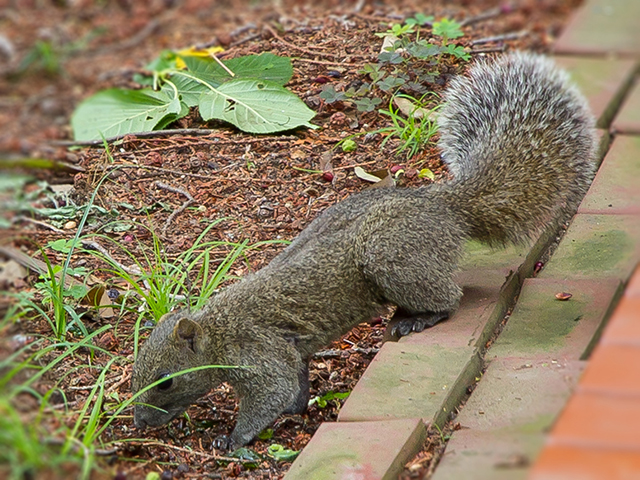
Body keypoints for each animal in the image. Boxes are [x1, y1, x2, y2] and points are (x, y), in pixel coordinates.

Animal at [131, 52, 600, 450]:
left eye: (165, 381)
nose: (138, 423)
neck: (218, 330)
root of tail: (441, 205)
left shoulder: (258, 351)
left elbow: (271, 394)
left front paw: (233, 439)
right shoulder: (288, 349)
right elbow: (295, 384)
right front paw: (295, 409)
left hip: (389, 253)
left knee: (449, 298)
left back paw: (416, 319)